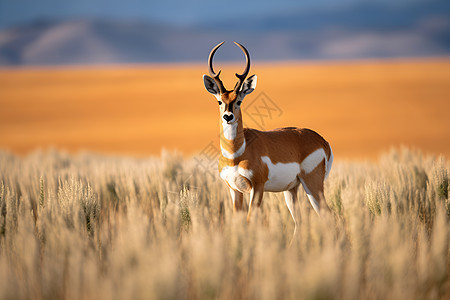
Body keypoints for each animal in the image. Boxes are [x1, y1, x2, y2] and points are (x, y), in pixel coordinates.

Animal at [204, 41, 334, 230]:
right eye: (219, 101)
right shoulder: (234, 190)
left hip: (312, 185)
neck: (236, 154)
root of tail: (321, 140)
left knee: (330, 216)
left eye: (239, 101)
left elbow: (250, 220)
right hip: (291, 190)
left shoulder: (257, 188)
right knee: (299, 221)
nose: (228, 116)